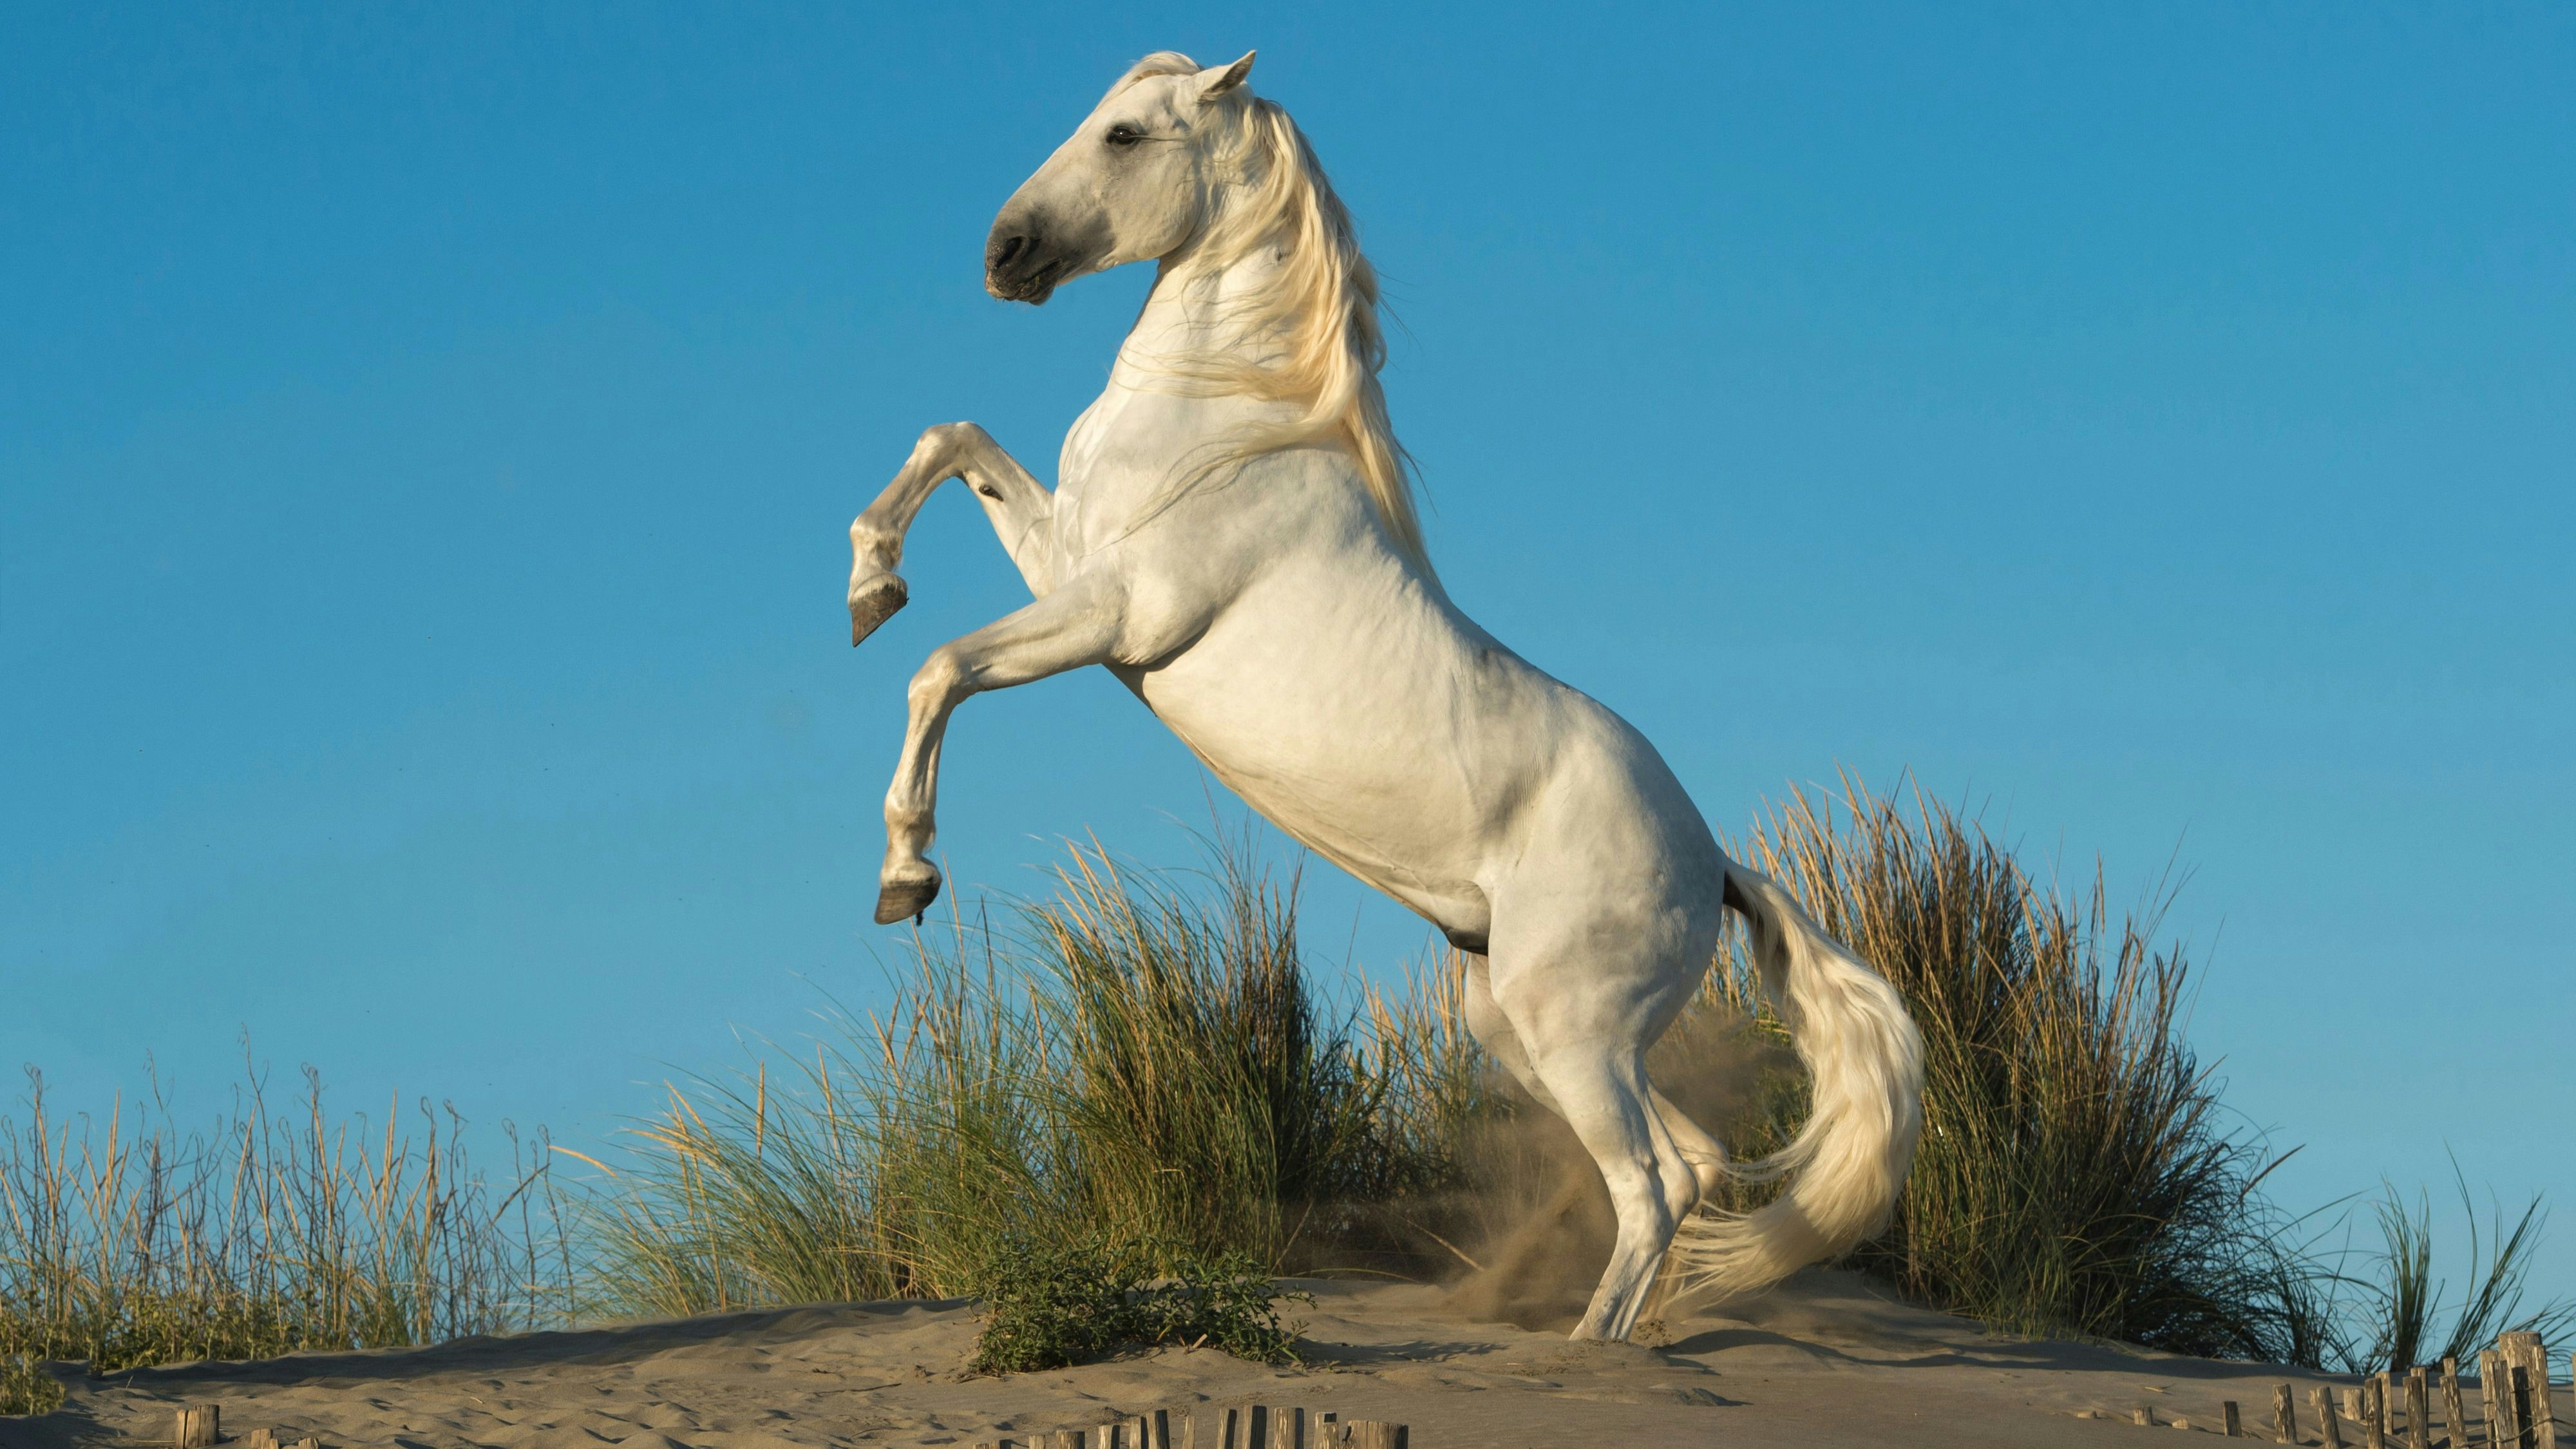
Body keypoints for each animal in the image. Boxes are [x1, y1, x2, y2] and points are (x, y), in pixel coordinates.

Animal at [844, 50, 1924, 1342]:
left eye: (1123, 136)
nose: (1006, 253)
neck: (1231, 412)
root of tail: (1715, 860)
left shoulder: (1114, 615)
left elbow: (940, 667)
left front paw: (907, 875)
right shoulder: (1066, 562)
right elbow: (950, 442)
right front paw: (870, 582)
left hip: (1570, 1028)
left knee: (1654, 1183)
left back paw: (1584, 1351)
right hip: (1523, 1025)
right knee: (1697, 1164)